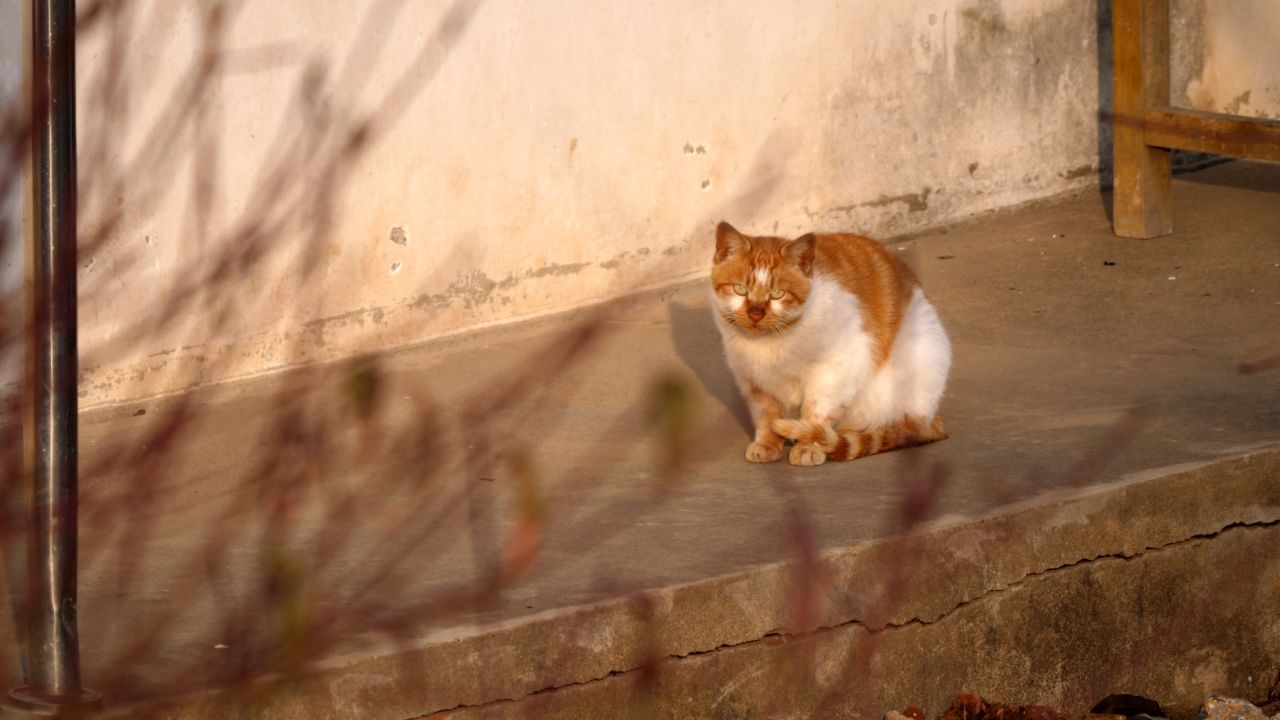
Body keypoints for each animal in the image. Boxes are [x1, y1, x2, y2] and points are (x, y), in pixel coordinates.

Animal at [711, 220, 952, 466]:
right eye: (740, 289)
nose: (756, 313)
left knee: (898, 428)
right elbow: (766, 415)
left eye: (778, 294)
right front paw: (767, 444)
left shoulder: (836, 368)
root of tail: (932, 421)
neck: (771, 343)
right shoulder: (752, 380)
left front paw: (809, 445)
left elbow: (816, 412)